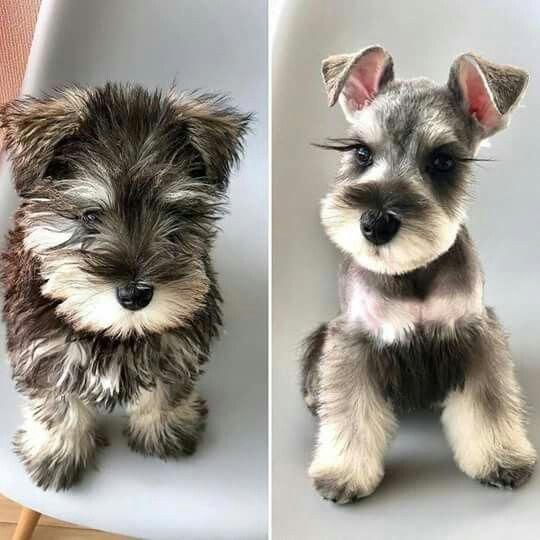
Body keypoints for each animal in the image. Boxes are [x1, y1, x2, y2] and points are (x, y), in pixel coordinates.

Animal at [0, 83, 249, 490]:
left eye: (174, 214)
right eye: (90, 216)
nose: (135, 294)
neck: (115, 334)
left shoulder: (175, 349)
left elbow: (166, 393)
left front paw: (164, 431)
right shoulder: (47, 354)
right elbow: (58, 406)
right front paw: (58, 453)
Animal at [302, 45, 536, 502]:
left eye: (442, 161)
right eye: (361, 152)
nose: (376, 223)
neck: (411, 274)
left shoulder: (475, 334)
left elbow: (489, 404)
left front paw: (501, 457)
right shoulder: (352, 340)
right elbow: (350, 411)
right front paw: (343, 471)